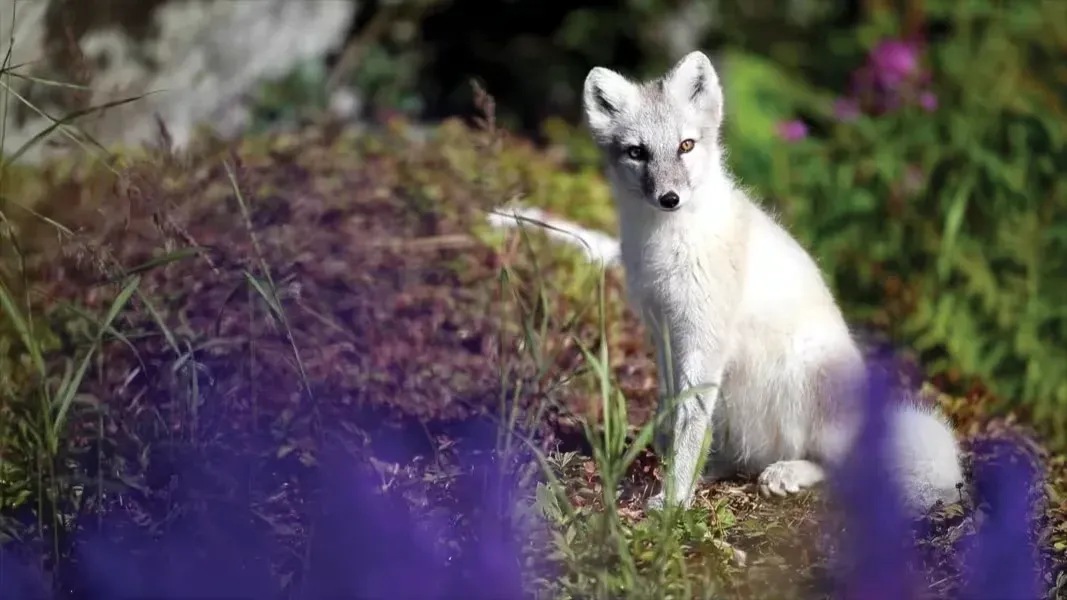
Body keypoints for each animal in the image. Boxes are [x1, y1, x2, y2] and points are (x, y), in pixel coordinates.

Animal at [574, 50, 966, 513]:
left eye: (686, 146)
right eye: (637, 152)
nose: (669, 199)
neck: (665, 243)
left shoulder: (704, 339)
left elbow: (689, 424)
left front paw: (673, 500)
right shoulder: (665, 333)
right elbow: (672, 414)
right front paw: (669, 475)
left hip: (807, 381)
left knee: (842, 470)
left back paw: (787, 473)